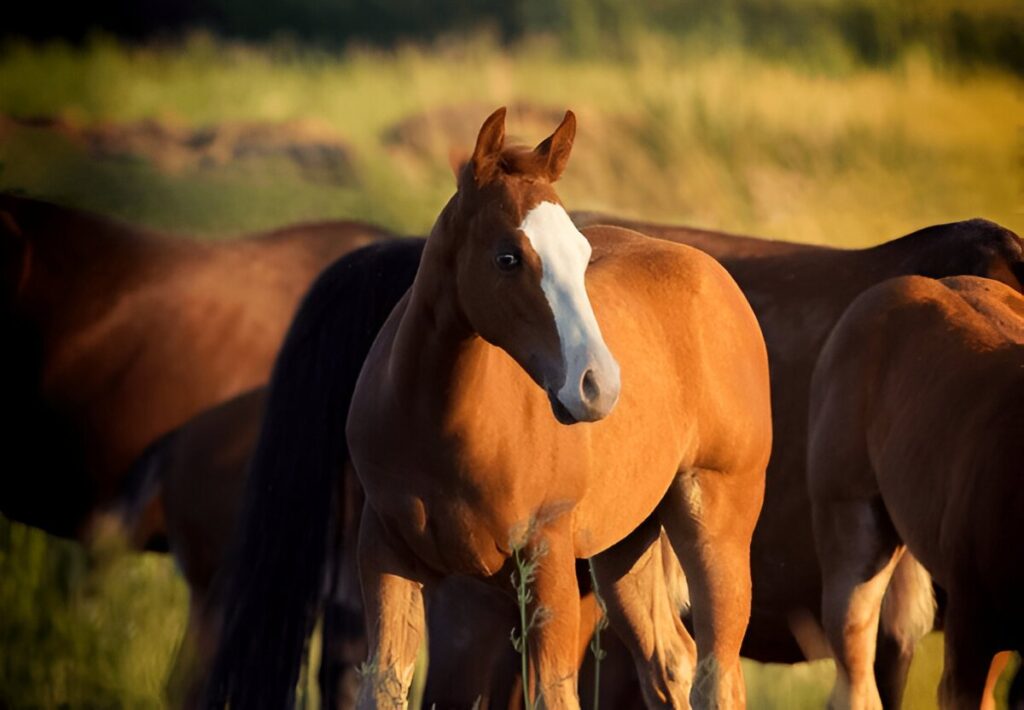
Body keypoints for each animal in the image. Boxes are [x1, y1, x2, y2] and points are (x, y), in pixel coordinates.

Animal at [205, 106, 770, 708]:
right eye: (508, 257)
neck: (439, 425)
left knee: (718, 672)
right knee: (670, 660)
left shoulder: (546, 564)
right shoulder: (385, 558)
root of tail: (711, 274)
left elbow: (551, 693)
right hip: (625, 545)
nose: (599, 385)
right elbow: (383, 687)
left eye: (582, 255)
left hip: (714, 527)